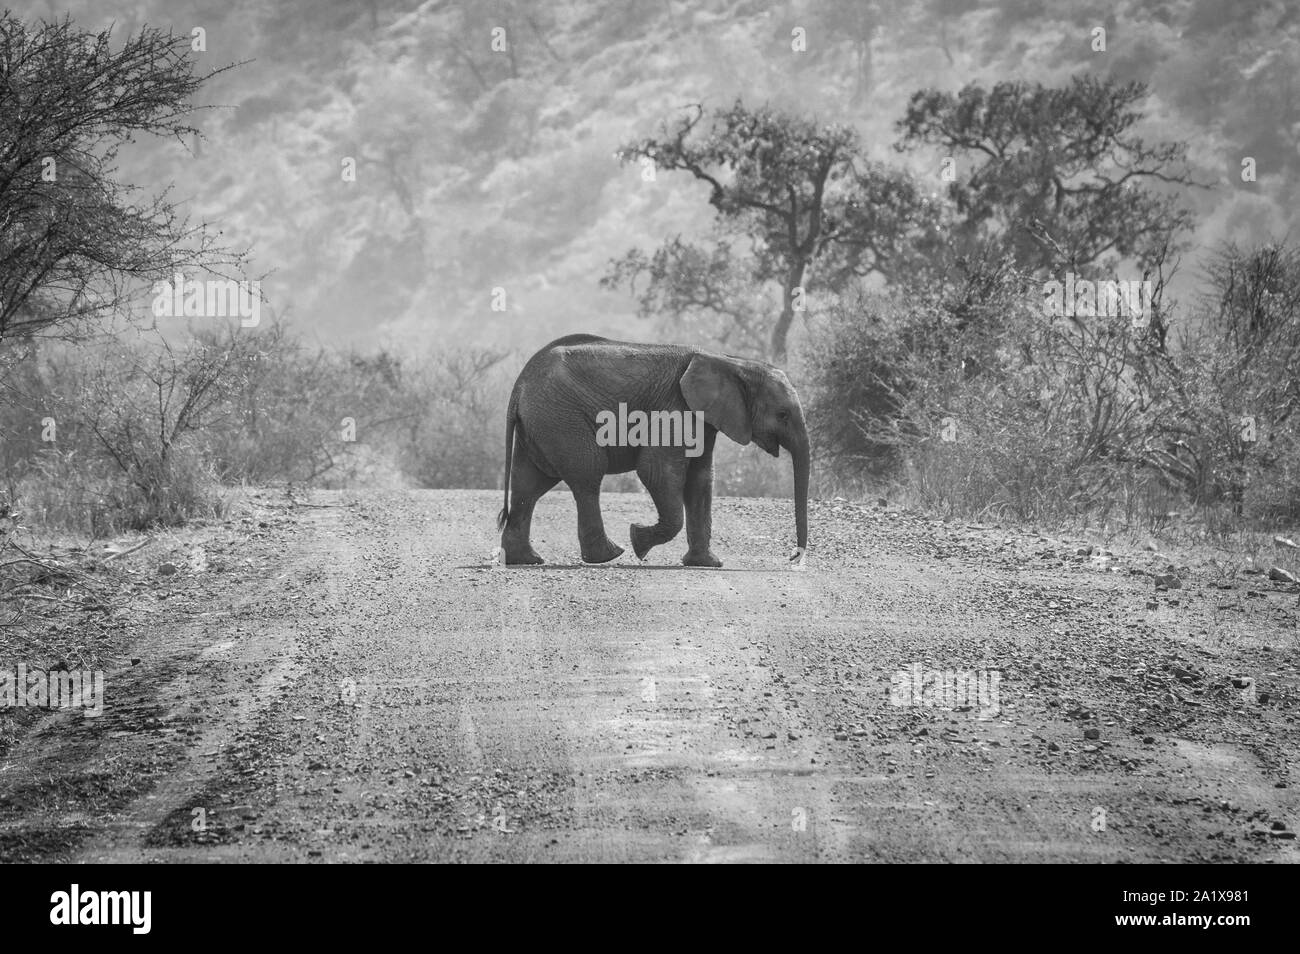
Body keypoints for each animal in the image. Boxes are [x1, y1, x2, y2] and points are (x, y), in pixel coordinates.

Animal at [499, 335, 811, 566]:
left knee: (529, 484)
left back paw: (525, 560)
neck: (731, 362)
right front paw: (639, 542)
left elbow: (700, 478)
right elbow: (657, 471)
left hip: (541, 424)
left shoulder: (703, 417)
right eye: (782, 415)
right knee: (587, 476)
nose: (792, 558)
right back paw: (609, 555)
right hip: (561, 418)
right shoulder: (676, 408)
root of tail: (519, 386)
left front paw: (707, 564)